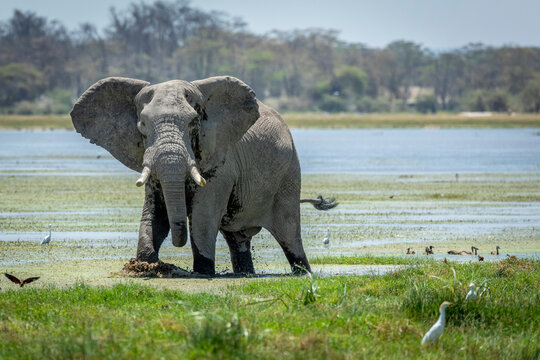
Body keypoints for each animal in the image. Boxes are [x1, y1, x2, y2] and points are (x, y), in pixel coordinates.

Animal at [69, 74, 336, 274]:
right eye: (142, 125)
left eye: (193, 123)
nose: (178, 243)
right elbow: (155, 213)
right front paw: (145, 265)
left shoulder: (221, 162)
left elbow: (202, 216)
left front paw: (203, 272)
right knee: (238, 240)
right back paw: (245, 273)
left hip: (288, 175)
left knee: (289, 234)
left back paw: (303, 272)